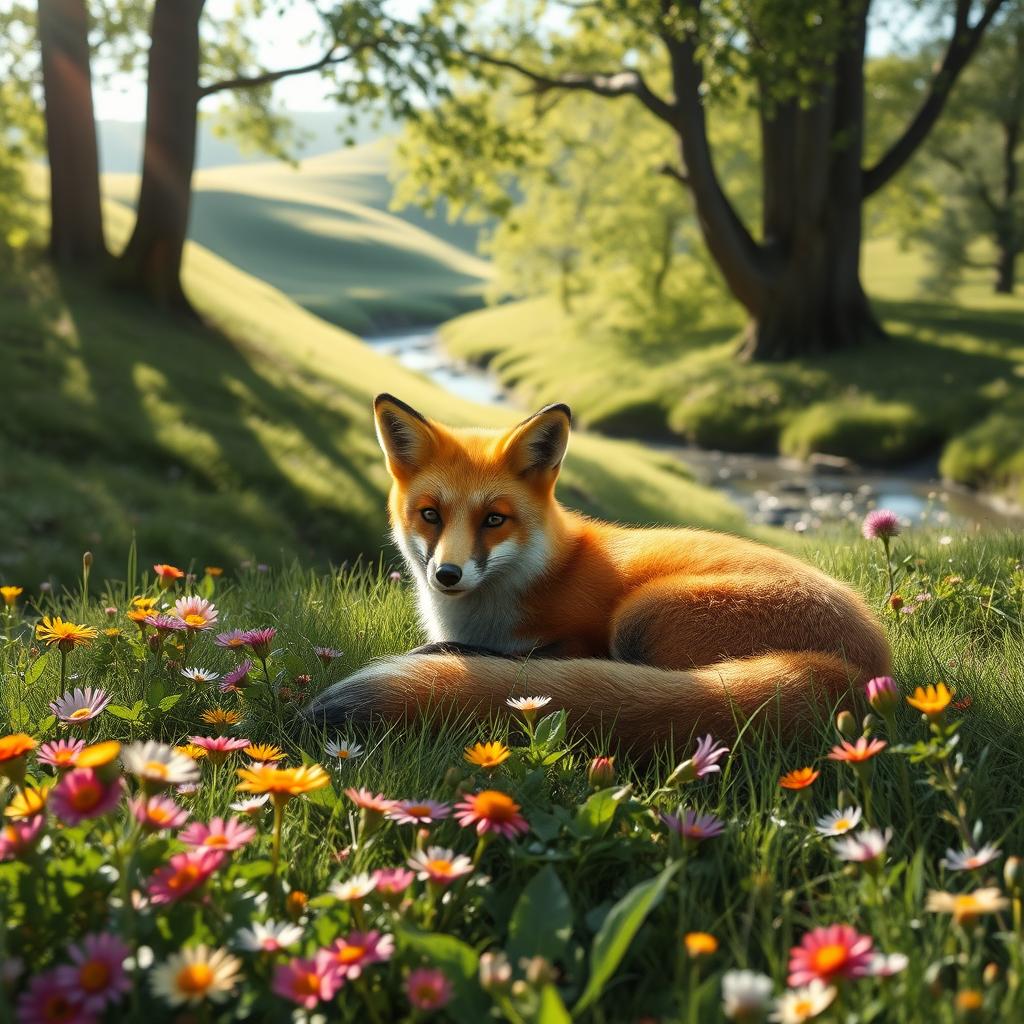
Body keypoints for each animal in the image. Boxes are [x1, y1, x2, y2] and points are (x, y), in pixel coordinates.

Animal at [306, 394, 891, 749]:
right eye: (431, 515)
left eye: (494, 519)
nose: (447, 575)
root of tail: (864, 671)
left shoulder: (577, 636)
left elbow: (529, 660)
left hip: (639, 615)